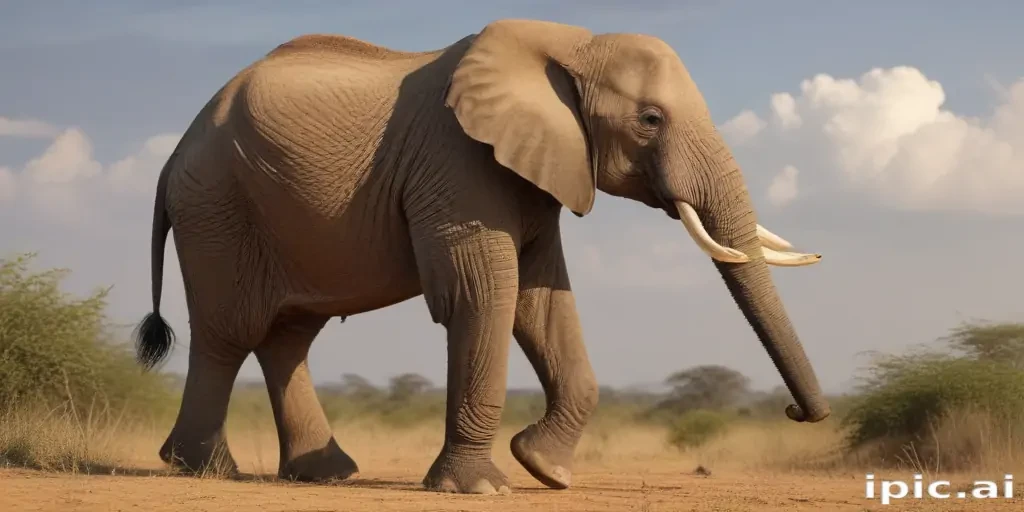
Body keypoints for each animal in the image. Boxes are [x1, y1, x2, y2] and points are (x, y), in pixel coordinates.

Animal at [132, 18, 829, 495]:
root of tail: (172, 157)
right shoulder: (456, 161)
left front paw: (545, 470)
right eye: (651, 119)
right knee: (232, 332)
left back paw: (324, 475)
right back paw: (204, 470)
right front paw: (481, 488)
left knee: (289, 337)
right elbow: (483, 294)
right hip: (217, 207)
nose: (798, 411)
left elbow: (542, 300)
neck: (573, 44)